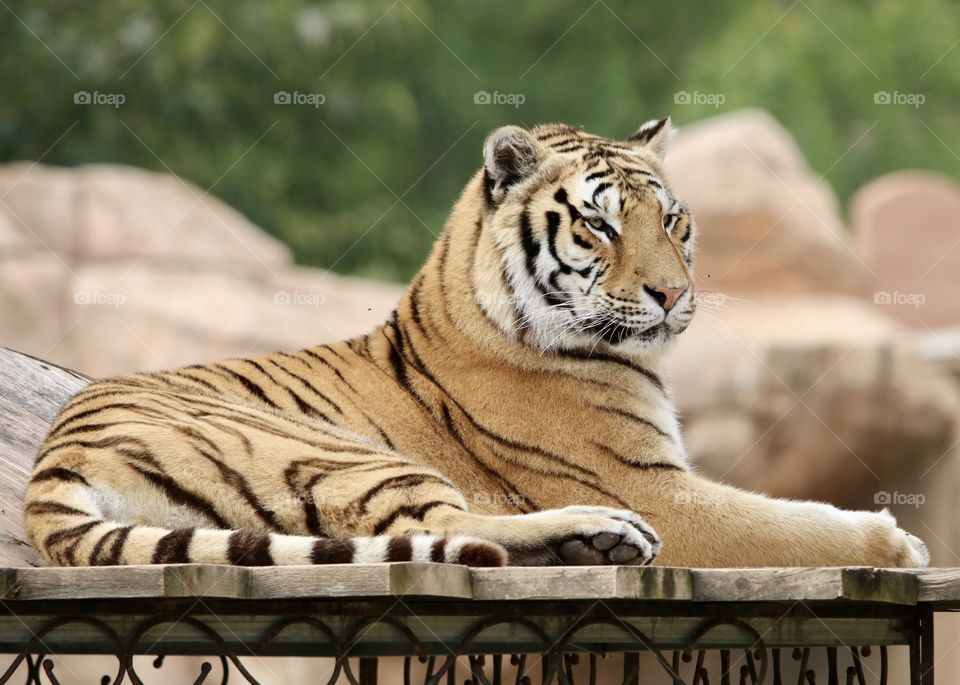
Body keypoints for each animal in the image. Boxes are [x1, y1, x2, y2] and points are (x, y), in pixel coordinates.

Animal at [24, 117, 930, 569]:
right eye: (602, 225)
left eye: (673, 222)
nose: (674, 295)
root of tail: (52, 460)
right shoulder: (655, 486)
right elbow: (787, 522)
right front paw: (897, 541)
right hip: (346, 453)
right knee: (439, 527)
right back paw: (602, 530)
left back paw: (592, 540)